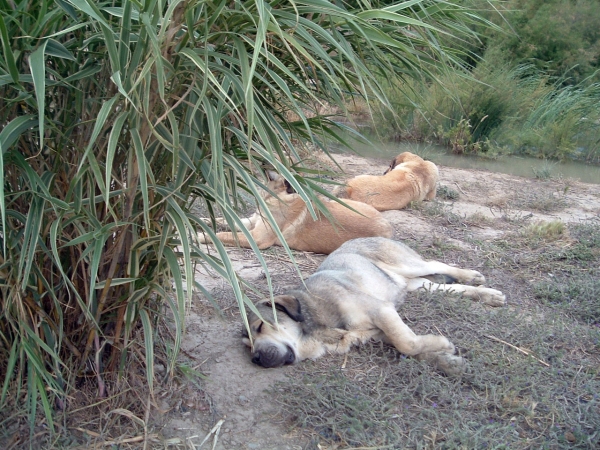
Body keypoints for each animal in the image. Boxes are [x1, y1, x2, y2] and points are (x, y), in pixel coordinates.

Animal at [199, 171, 392, 255]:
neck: (277, 196)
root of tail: (388, 229)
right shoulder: (252, 222)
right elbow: (223, 219)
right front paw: (201, 220)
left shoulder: (257, 238)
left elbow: (222, 234)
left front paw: (198, 236)